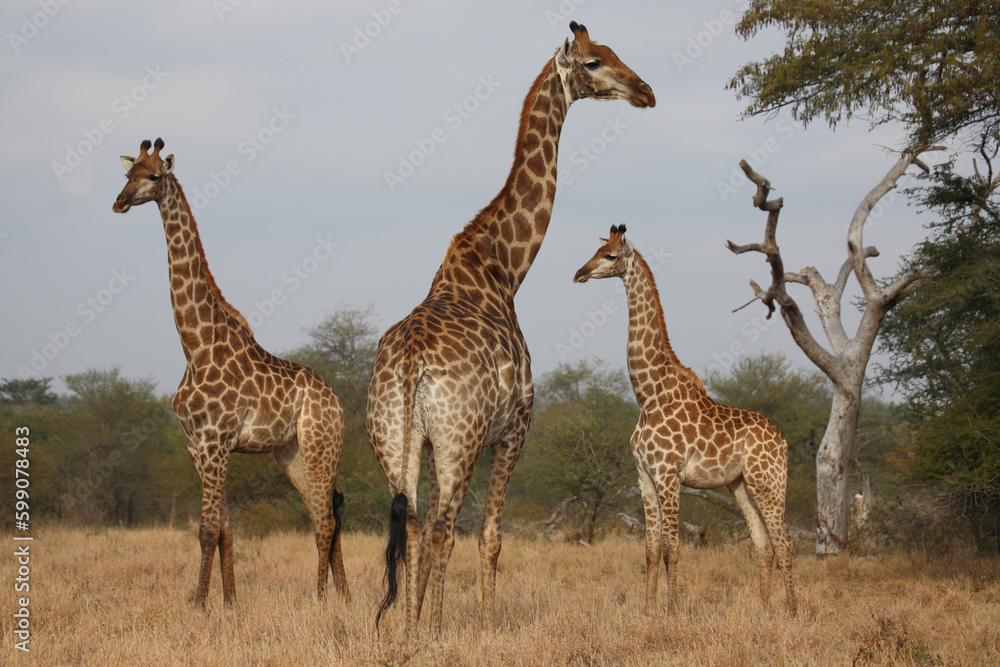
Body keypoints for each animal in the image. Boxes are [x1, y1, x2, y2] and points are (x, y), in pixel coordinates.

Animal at [112, 138, 349, 606]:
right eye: (128, 174)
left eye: (154, 176)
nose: (119, 202)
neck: (195, 344)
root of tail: (336, 401)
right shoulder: (197, 445)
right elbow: (223, 529)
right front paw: (228, 601)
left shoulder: (216, 441)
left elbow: (207, 530)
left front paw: (199, 604)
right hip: (290, 452)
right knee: (324, 517)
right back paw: (344, 598)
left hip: (321, 446)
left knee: (326, 521)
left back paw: (319, 599)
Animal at [368, 22, 655, 639]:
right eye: (594, 63)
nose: (645, 91)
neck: (503, 269)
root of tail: (409, 366)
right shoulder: (515, 428)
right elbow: (491, 538)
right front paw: (485, 625)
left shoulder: (436, 441)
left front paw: (427, 621)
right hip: (460, 440)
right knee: (441, 529)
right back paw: (430, 631)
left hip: (395, 440)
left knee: (411, 524)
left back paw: (408, 630)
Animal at [573, 225, 796, 617]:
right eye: (596, 250)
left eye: (610, 256)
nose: (579, 273)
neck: (648, 396)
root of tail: (782, 440)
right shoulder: (645, 477)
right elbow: (649, 551)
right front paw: (648, 610)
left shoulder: (669, 475)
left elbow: (671, 550)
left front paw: (673, 611)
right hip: (740, 484)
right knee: (763, 544)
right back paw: (766, 612)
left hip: (769, 481)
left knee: (784, 542)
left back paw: (793, 613)